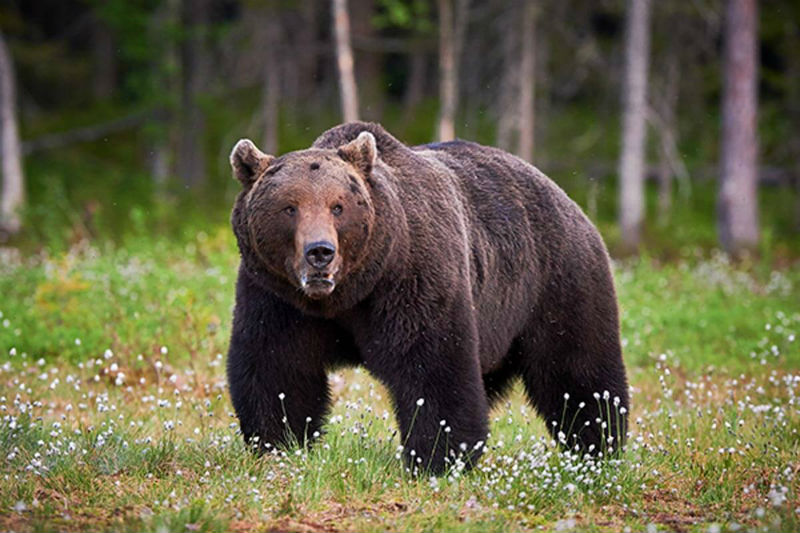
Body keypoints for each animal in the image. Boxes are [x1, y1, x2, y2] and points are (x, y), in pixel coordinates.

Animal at [225, 121, 624, 474]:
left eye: (338, 206)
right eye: (289, 207)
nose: (320, 252)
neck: (349, 292)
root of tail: (569, 200)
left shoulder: (412, 278)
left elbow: (433, 366)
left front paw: (435, 458)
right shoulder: (277, 296)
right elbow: (277, 366)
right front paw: (279, 442)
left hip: (556, 283)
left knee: (578, 372)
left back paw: (599, 447)